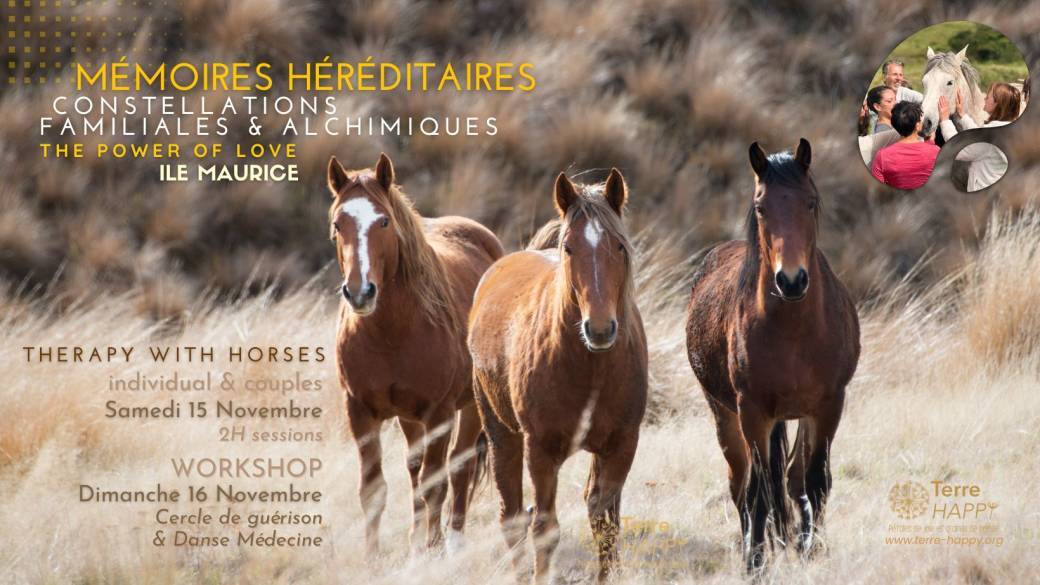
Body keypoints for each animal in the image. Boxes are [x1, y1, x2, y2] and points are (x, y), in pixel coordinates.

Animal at [329, 153, 504, 556]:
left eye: (383, 221)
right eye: (338, 224)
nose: (359, 292)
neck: (391, 333)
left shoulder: (439, 413)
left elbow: (436, 482)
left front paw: (432, 550)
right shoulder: (359, 410)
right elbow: (373, 489)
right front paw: (373, 557)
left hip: (470, 406)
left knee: (458, 467)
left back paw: (453, 542)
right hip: (408, 418)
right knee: (414, 467)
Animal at [468, 170, 648, 584]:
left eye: (619, 246)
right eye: (569, 248)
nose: (600, 328)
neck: (591, 366)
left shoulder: (622, 445)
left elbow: (605, 521)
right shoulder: (541, 450)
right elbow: (545, 529)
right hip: (502, 435)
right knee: (513, 516)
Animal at [685, 139, 860, 573]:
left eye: (810, 202)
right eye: (761, 206)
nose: (791, 280)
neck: (793, 331)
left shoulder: (829, 406)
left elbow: (815, 481)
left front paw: (812, 551)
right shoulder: (753, 412)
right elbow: (760, 490)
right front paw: (755, 564)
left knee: (793, 478)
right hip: (725, 414)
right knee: (742, 484)